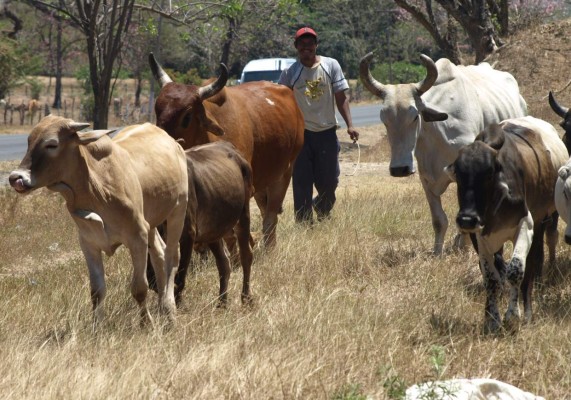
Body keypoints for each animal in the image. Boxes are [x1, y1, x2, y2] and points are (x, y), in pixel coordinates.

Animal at [8, 115, 188, 328]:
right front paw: (97, 326)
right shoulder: (89, 243)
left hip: (178, 210)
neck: (96, 188)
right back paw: (162, 306)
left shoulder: (137, 238)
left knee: (171, 256)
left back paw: (170, 310)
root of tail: (173, 142)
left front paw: (146, 323)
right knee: (159, 253)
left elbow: (139, 288)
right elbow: (97, 290)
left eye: (52, 144)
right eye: (29, 141)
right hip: (151, 223)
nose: (16, 178)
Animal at [362, 52, 528, 253]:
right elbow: (439, 220)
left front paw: (464, 247)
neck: (436, 131)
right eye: (383, 118)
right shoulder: (426, 178)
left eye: (415, 116)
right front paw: (437, 252)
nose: (399, 169)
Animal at [444, 115, 568, 332]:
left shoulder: (525, 226)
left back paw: (527, 311)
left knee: (532, 263)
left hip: (540, 222)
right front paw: (492, 319)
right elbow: (491, 278)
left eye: (489, 173)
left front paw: (513, 314)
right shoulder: (480, 236)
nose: (467, 219)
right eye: (458, 174)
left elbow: (516, 270)